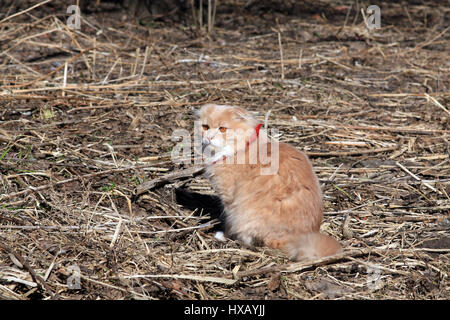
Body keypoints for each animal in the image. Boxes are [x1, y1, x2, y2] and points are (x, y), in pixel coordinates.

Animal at [196, 104, 342, 260]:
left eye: (222, 129)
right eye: (205, 127)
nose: (209, 137)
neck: (243, 147)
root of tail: (300, 240)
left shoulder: (229, 198)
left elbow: (228, 222)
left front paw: (224, 235)